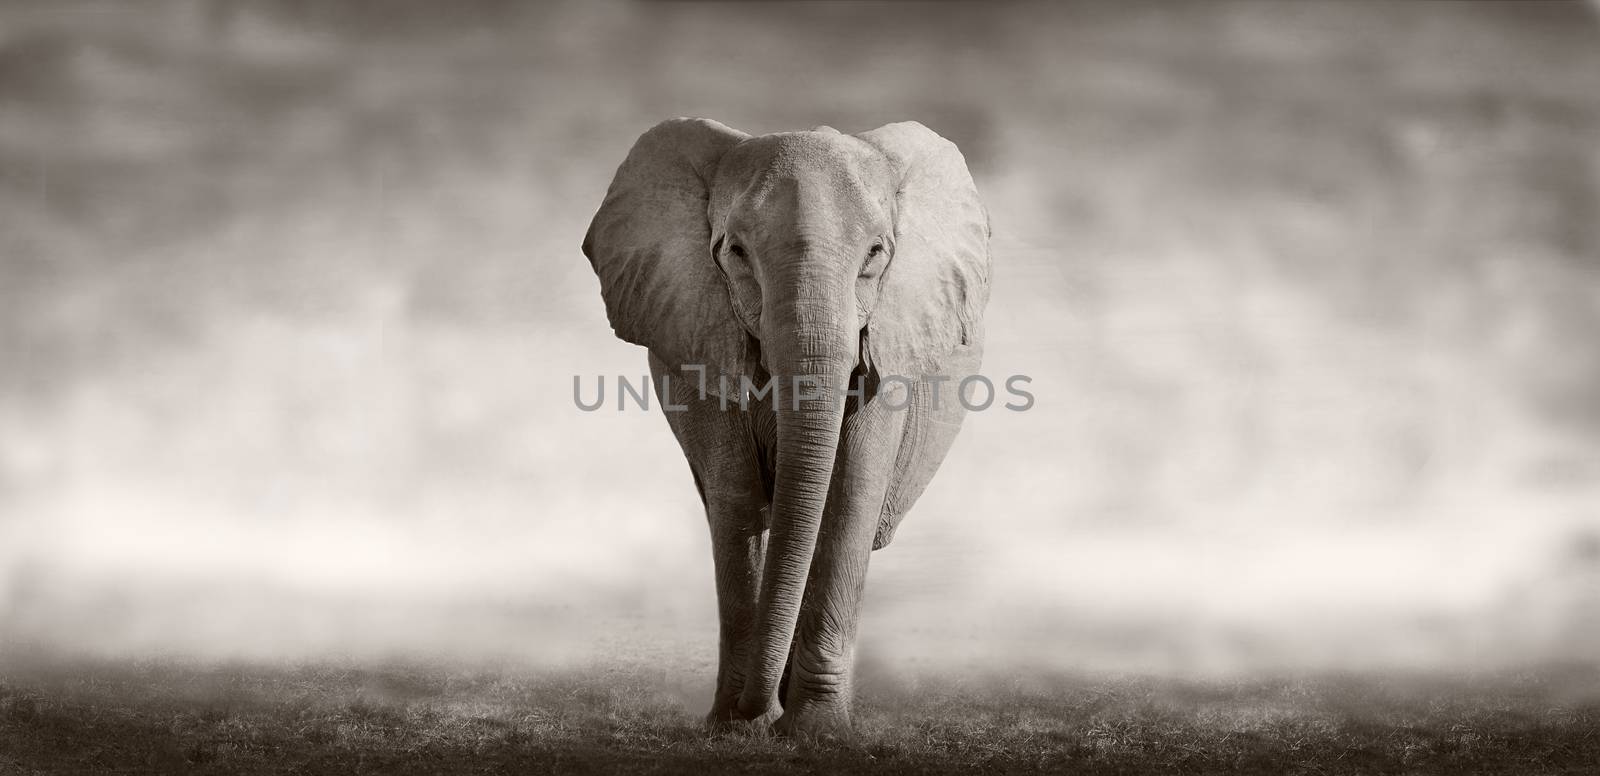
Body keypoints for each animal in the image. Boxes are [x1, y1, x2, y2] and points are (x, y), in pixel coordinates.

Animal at [582, 117, 992, 736]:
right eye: (736, 252)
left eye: (876, 253)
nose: (759, 714)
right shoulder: (701, 335)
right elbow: (736, 498)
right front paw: (736, 727)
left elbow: (848, 498)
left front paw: (815, 732)